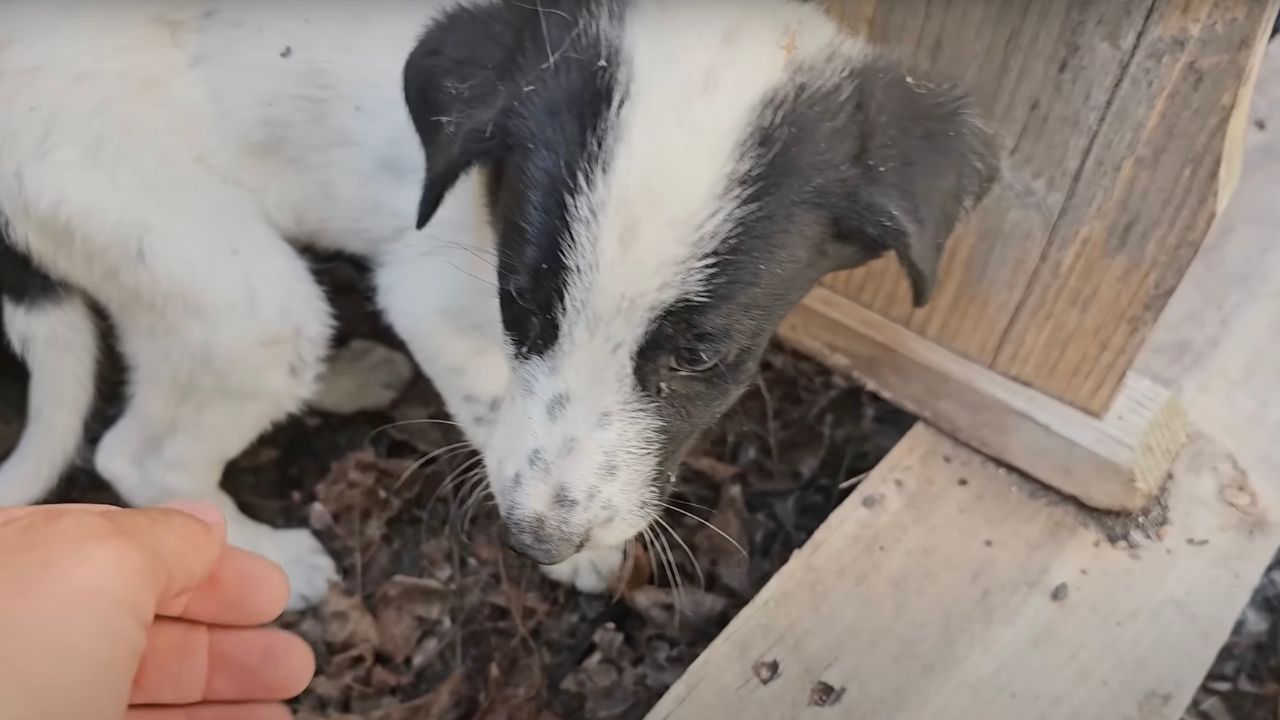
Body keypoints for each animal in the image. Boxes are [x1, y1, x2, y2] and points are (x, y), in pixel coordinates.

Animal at [0, 0, 993, 604]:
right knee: (138, 454)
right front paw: (586, 555)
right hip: (227, 284)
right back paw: (272, 558)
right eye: (522, 308)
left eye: (698, 357)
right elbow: (495, 405)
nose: (537, 545)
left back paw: (352, 377)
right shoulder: (435, 289)